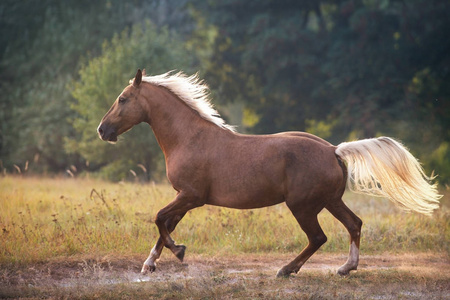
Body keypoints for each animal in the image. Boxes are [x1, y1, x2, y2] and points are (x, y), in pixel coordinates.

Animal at [97, 69, 440, 278]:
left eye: (123, 99)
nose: (103, 130)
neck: (188, 138)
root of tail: (333, 150)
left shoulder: (191, 196)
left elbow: (159, 219)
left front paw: (179, 252)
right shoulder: (185, 198)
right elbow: (165, 224)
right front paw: (150, 264)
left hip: (303, 206)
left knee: (318, 237)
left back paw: (287, 269)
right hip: (330, 201)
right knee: (354, 224)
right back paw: (345, 268)